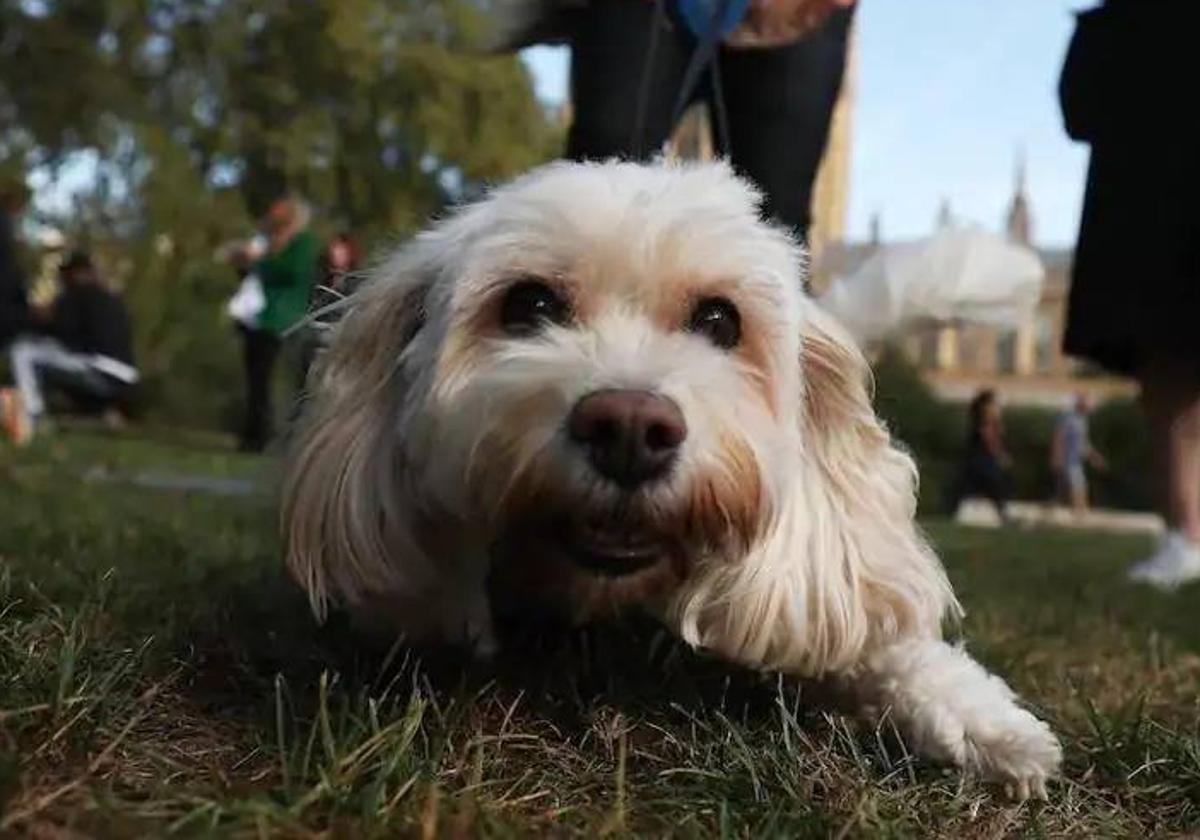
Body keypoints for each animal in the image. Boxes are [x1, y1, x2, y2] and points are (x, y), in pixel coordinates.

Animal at [278, 159, 1060, 801]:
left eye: (720, 319)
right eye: (529, 305)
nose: (628, 427)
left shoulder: (822, 570)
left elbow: (872, 636)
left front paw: (985, 723)